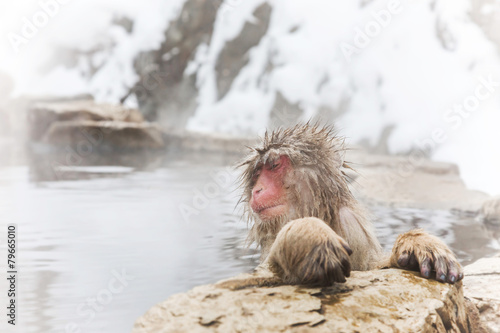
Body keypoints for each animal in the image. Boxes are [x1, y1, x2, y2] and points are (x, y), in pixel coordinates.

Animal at [240, 123, 462, 284]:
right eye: (258, 173)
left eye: (274, 165)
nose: (257, 190)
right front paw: (310, 233)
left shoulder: (351, 223)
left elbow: (370, 267)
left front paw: (417, 245)